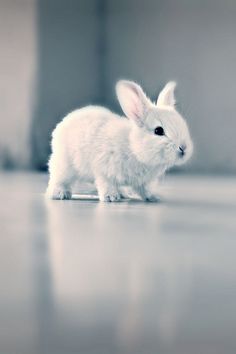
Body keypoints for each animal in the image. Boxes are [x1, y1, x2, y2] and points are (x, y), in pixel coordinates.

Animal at [46, 80, 194, 202]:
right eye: (158, 131)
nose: (184, 148)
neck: (133, 148)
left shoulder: (142, 182)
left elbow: (144, 190)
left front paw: (153, 197)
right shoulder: (104, 170)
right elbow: (106, 184)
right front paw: (111, 197)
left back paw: (123, 194)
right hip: (64, 165)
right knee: (58, 180)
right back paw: (60, 194)